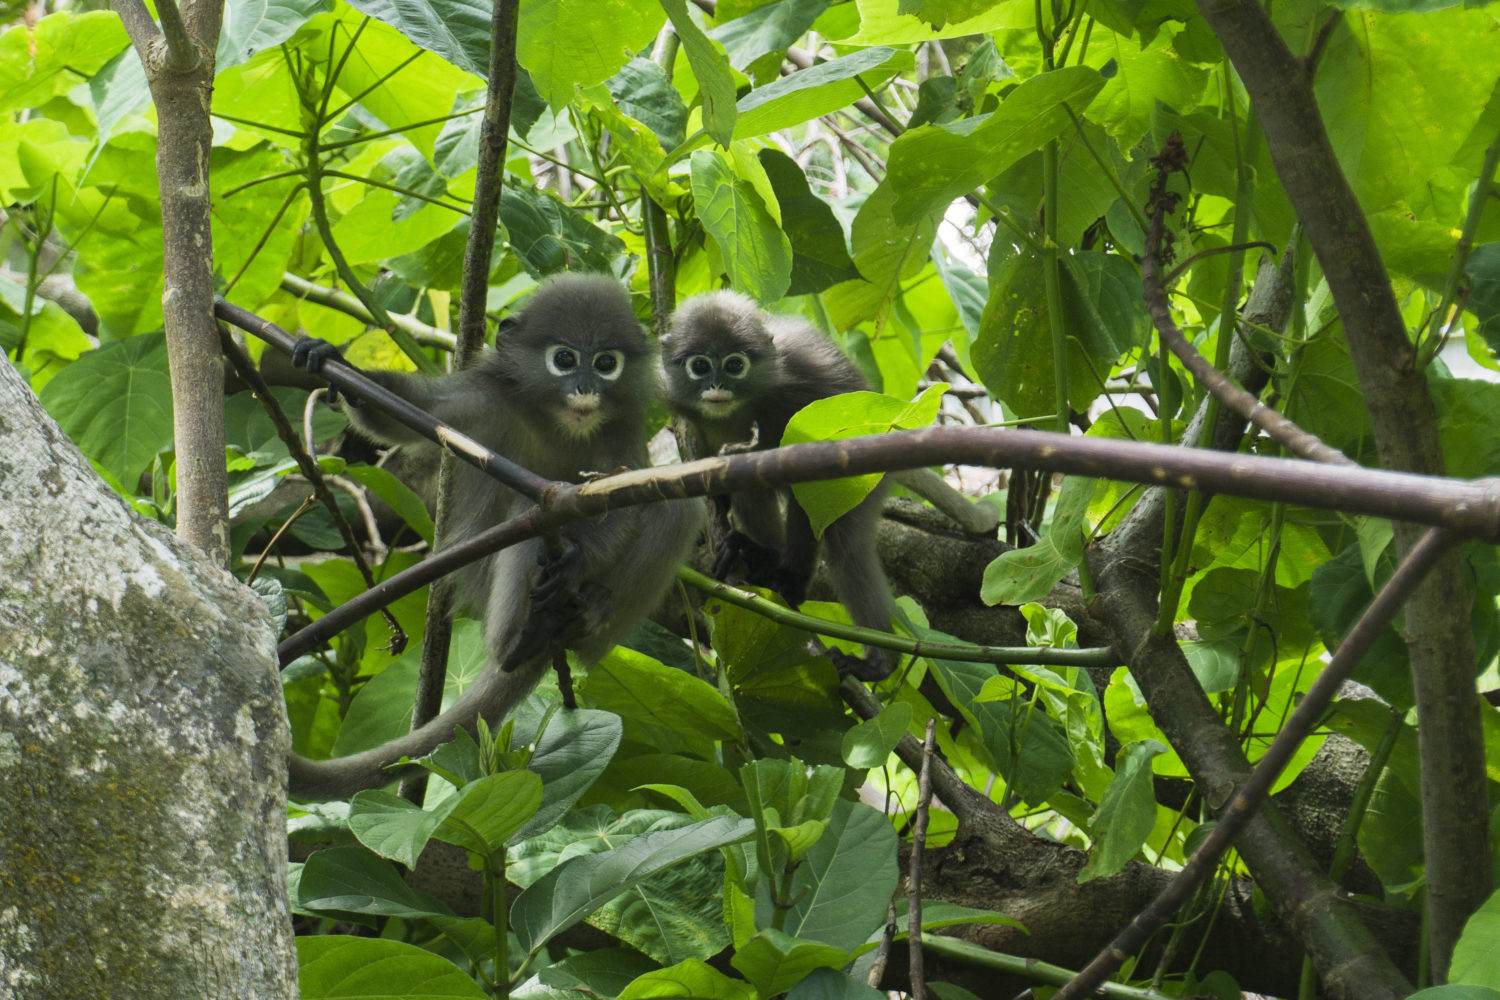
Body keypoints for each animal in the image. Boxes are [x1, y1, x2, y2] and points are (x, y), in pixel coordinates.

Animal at [288, 271, 702, 797]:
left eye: (606, 363)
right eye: (565, 359)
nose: (585, 387)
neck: (556, 420)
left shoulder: (624, 425)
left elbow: (625, 494)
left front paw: (576, 559)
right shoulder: (481, 398)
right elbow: (405, 412)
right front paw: (336, 366)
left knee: (677, 508)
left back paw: (588, 611)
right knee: (533, 512)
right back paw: (519, 639)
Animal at [663, 289, 894, 680]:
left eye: (734, 365)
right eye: (700, 365)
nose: (716, 386)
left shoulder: (800, 392)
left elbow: (808, 491)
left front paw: (791, 579)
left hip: (866, 482)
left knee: (844, 546)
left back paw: (876, 661)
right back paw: (759, 558)